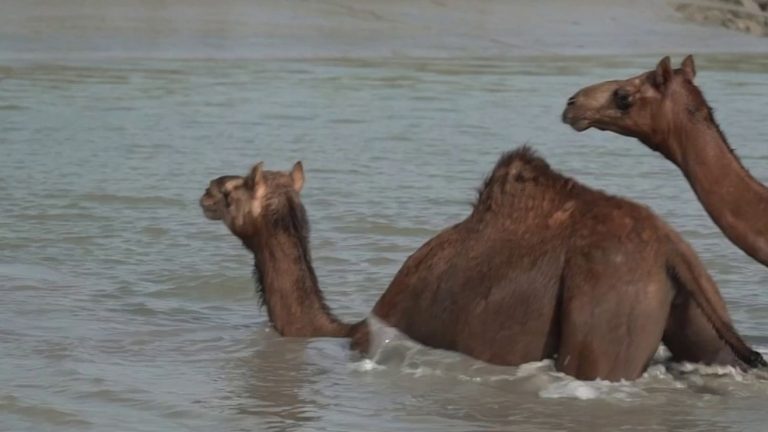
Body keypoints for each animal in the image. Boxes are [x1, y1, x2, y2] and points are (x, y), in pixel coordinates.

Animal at [198, 149, 760, 382]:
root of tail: (671, 252)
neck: (345, 327)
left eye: (232, 190)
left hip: (604, 319)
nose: (204, 188)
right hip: (698, 315)